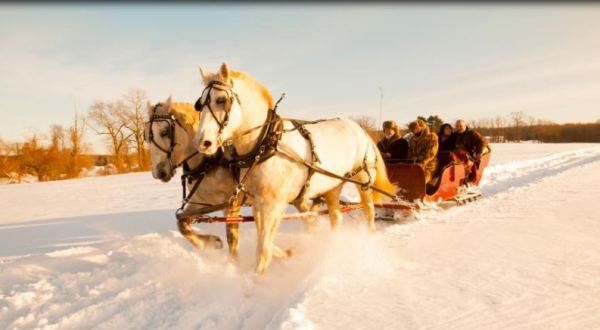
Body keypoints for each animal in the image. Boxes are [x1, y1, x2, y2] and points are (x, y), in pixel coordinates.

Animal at [146, 96, 316, 260]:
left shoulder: (231, 204)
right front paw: (210, 242)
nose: (158, 172)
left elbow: (232, 240)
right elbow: (181, 223)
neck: (210, 161)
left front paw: (234, 266)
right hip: (295, 197)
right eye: (146, 137)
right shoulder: (200, 202)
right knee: (308, 216)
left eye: (165, 132)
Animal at [195, 62, 396, 274]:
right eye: (199, 103)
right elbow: (265, 241)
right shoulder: (259, 201)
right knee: (336, 217)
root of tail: (361, 129)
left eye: (221, 100)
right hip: (333, 186)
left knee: (369, 212)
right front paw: (286, 254)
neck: (265, 142)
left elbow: (263, 248)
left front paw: (257, 277)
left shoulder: (273, 203)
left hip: (363, 180)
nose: (202, 142)